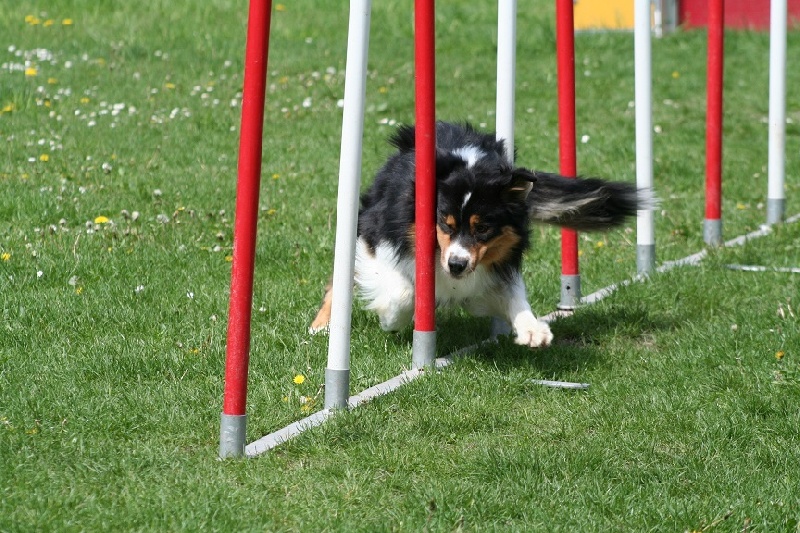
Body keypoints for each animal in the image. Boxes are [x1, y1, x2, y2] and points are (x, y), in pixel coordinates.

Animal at [310, 121, 652, 348]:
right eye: (445, 223)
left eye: (483, 228)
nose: (456, 265)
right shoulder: (376, 235)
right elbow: (402, 290)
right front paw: (391, 319)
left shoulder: (498, 261)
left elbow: (512, 292)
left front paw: (532, 328)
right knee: (339, 281)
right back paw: (322, 326)